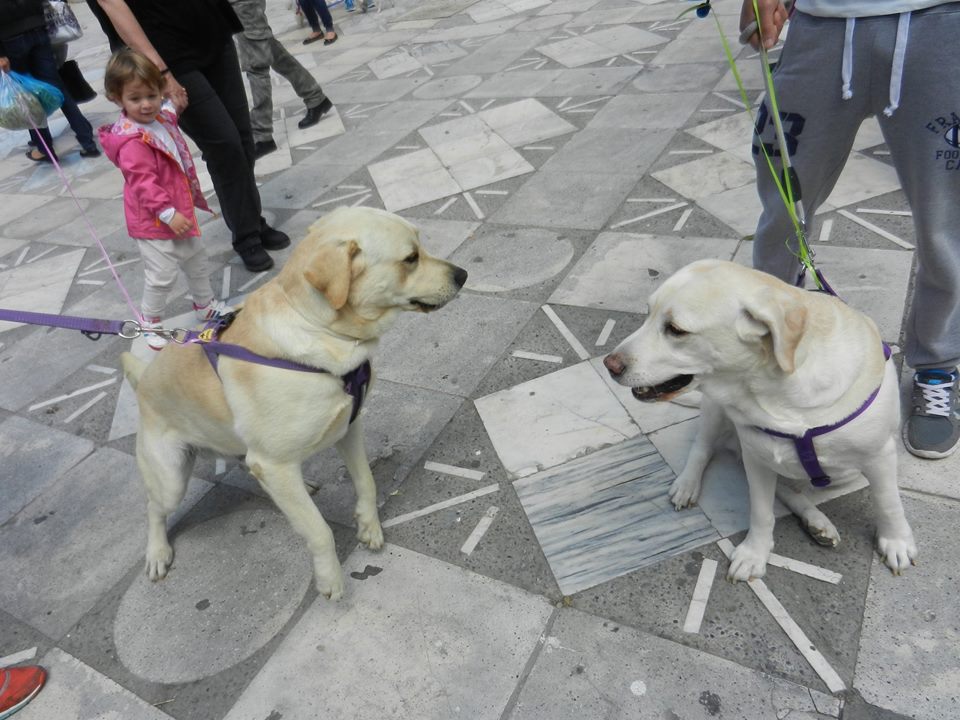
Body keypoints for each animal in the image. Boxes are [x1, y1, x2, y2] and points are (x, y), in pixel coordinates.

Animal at [122, 208, 466, 600]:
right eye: (410, 258)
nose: (463, 275)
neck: (318, 327)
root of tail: (143, 380)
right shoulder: (273, 463)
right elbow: (318, 529)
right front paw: (329, 577)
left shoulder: (348, 426)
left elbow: (366, 481)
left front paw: (368, 525)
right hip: (170, 477)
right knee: (155, 508)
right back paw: (157, 552)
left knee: (245, 464)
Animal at [604, 262, 920, 584]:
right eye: (647, 313)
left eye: (676, 330)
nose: (609, 365)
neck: (777, 392)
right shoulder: (757, 456)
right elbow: (761, 511)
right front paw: (754, 554)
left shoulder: (879, 456)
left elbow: (888, 502)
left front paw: (896, 542)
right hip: (715, 411)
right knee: (702, 447)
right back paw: (687, 484)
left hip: (846, 473)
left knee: (790, 487)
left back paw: (816, 521)